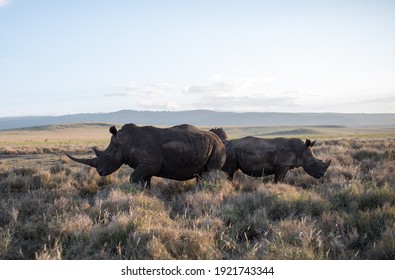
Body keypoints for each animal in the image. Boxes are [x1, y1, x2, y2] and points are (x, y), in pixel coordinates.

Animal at [65, 123, 226, 187]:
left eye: (108, 156)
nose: (100, 172)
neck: (125, 141)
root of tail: (221, 141)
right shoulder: (147, 165)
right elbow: (145, 181)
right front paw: (145, 193)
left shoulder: (150, 164)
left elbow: (133, 177)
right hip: (207, 146)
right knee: (202, 174)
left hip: (217, 148)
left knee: (210, 172)